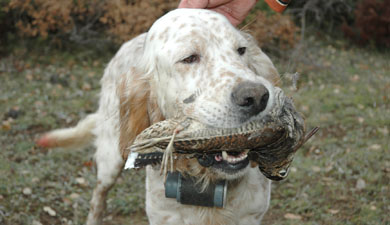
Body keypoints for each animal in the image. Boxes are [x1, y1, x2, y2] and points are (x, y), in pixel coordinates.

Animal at [38, 8, 280, 225]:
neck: (203, 178)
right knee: (99, 195)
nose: (257, 97)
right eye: (189, 58)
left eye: (241, 50)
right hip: (111, 158)